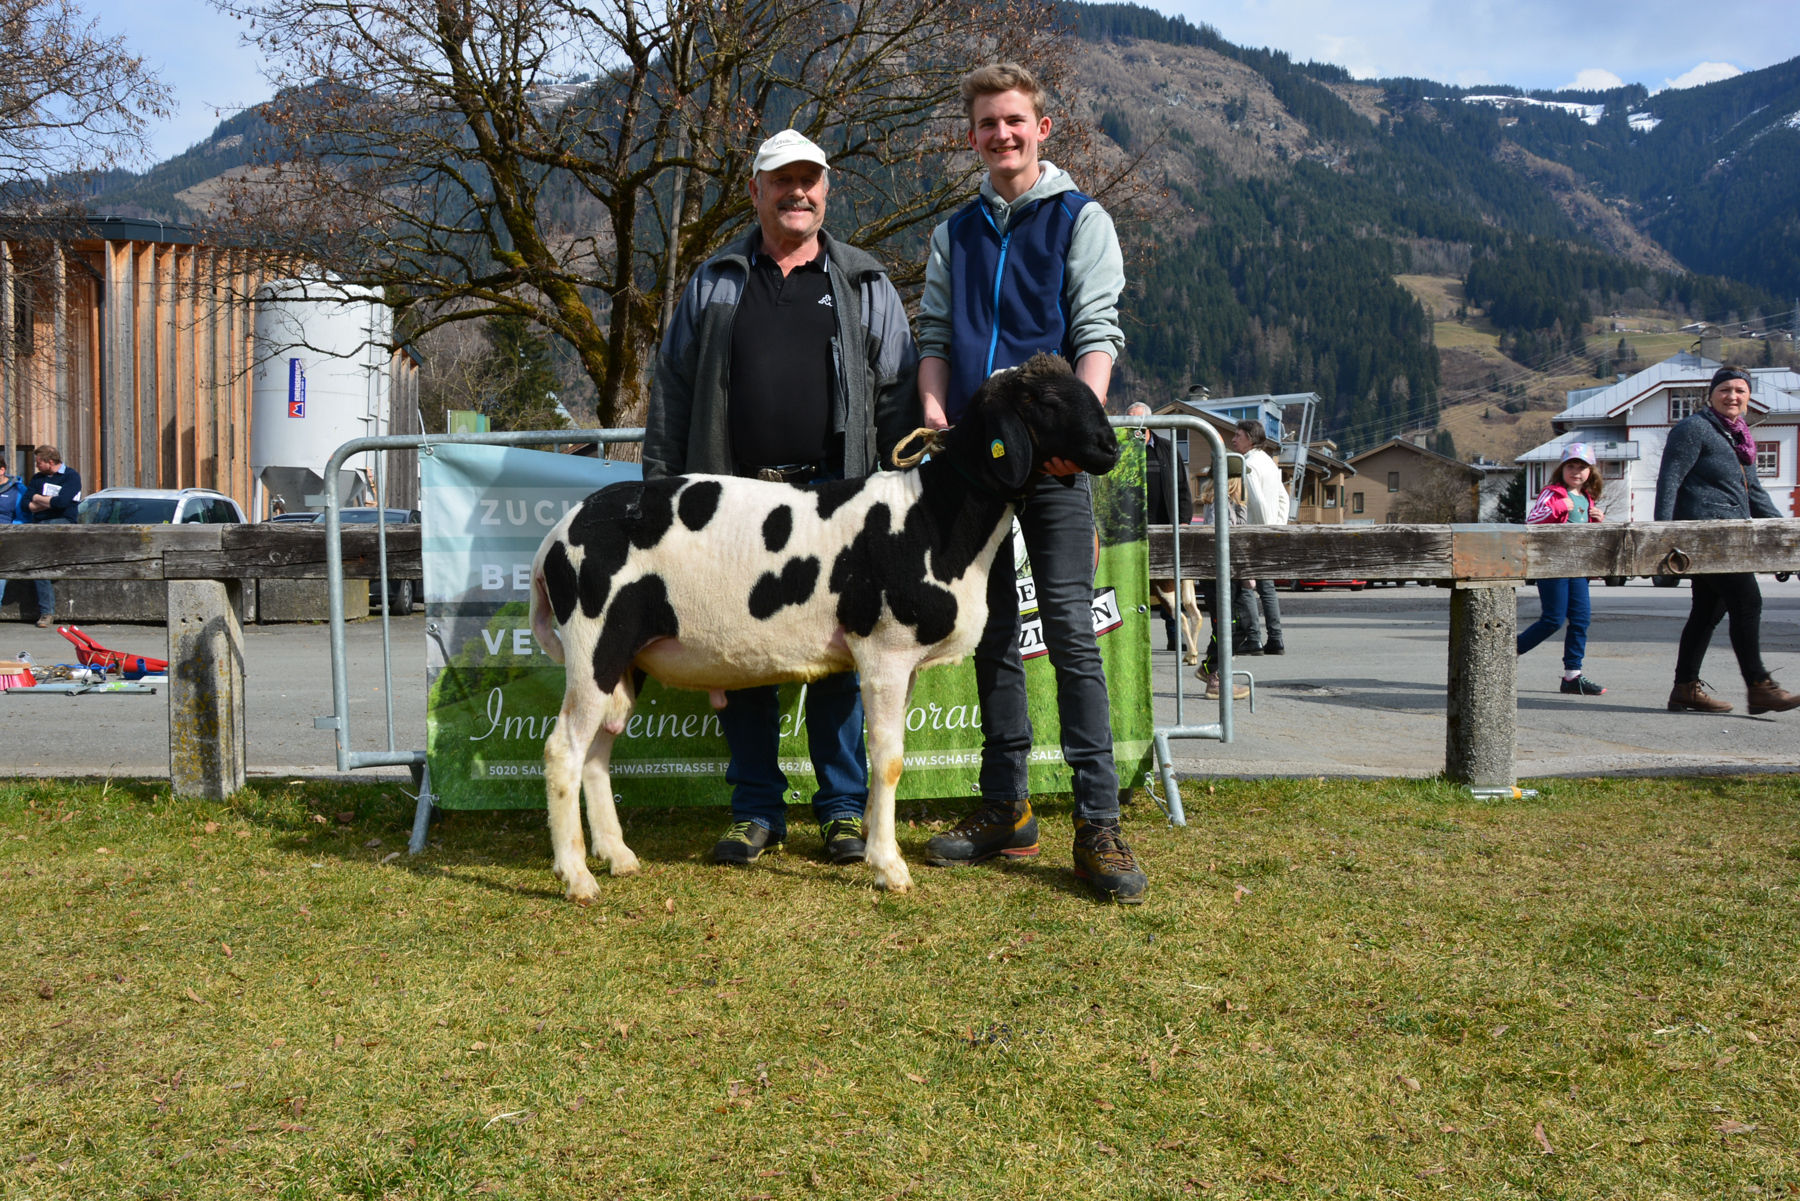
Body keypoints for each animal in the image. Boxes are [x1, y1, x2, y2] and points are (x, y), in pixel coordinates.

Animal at [525, 356, 1108, 900]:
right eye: (1041, 400)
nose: (1107, 446)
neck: (931, 517)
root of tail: (555, 537)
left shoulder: (903, 665)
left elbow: (885, 755)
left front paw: (868, 838)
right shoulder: (884, 652)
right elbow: (889, 761)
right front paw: (888, 866)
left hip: (627, 657)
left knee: (596, 754)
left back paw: (617, 856)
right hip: (596, 644)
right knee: (562, 752)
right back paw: (576, 876)